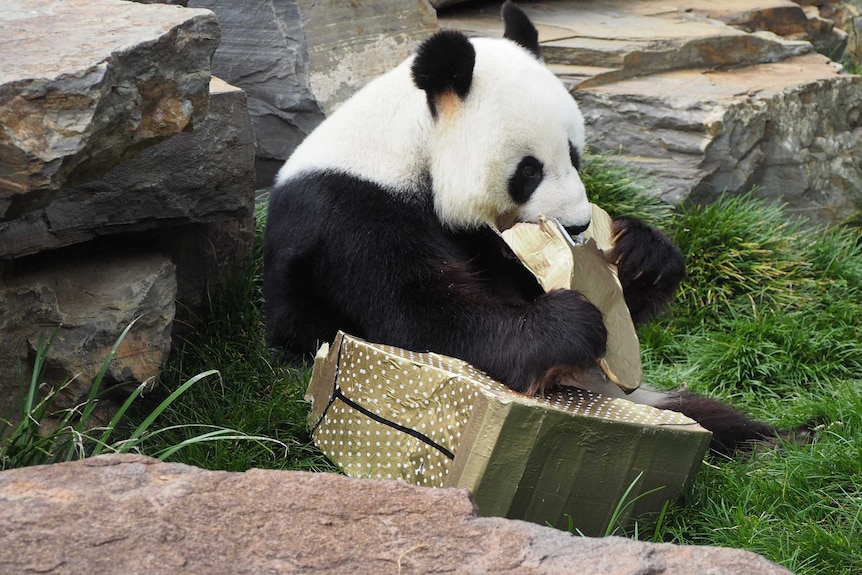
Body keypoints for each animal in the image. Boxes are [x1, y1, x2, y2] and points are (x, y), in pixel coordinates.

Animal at [264, 2, 796, 456]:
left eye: (575, 155)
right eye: (529, 170)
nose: (577, 225)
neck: (410, 147)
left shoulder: (495, 242)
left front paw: (644, 256)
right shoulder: (349, 213)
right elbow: (417, 318)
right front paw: (567, 324)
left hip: (641, 397)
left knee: (708, 415)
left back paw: (777, 442)